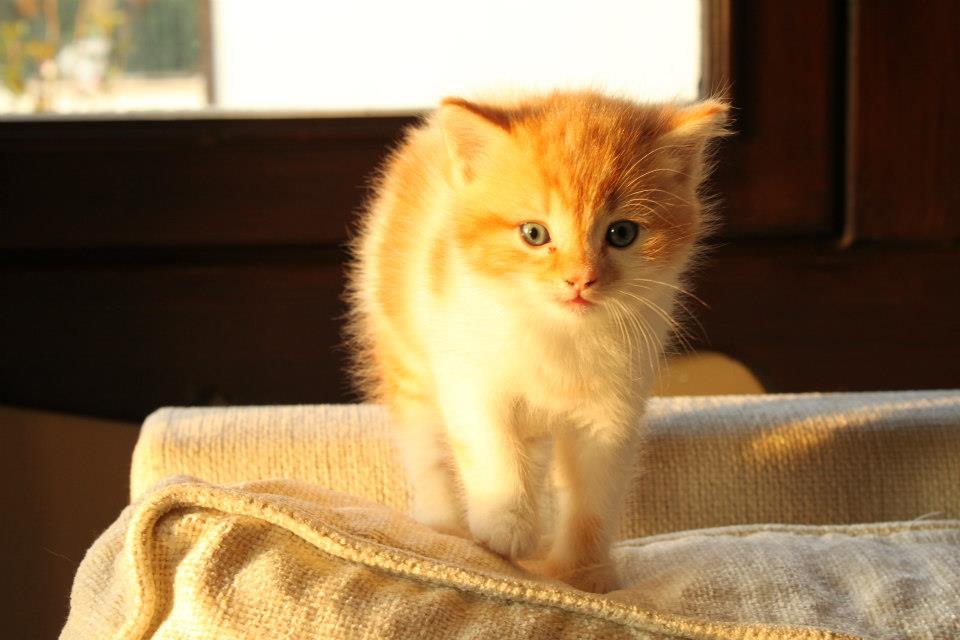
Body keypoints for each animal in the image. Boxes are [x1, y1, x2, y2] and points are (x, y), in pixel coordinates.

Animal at [346, 91, 728, 593]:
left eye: (622, 233)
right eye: (534, 233)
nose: (580, 279)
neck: (557, 333)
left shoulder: (613, 408)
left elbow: (592, 494)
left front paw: (583, 574)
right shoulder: (471, 375)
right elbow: (492, 450)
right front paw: (506, 530)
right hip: (407, 354)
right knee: (427, 449)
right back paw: (446, 525)